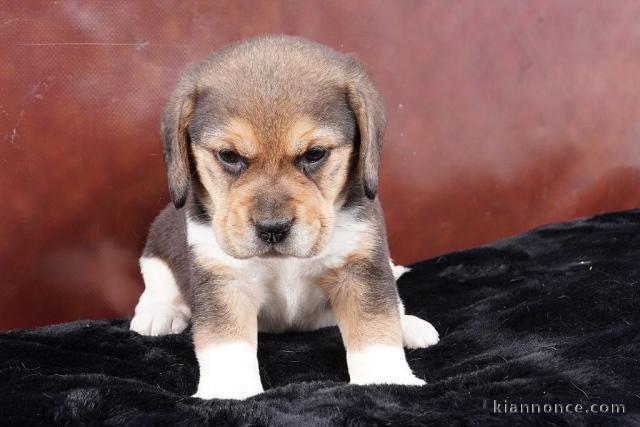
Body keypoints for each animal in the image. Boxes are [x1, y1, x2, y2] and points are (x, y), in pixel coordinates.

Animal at [130, 35, 440, 400]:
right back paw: (158, 312)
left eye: (315, 154)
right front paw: (228, 391)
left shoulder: (359, 266)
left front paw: (386, 378)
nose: (272, 229)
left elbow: (374, 327)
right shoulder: (223, 277)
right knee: (158, 283)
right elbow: (225, 344)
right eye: (229, 156)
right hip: (157, 245)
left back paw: (409, 325)